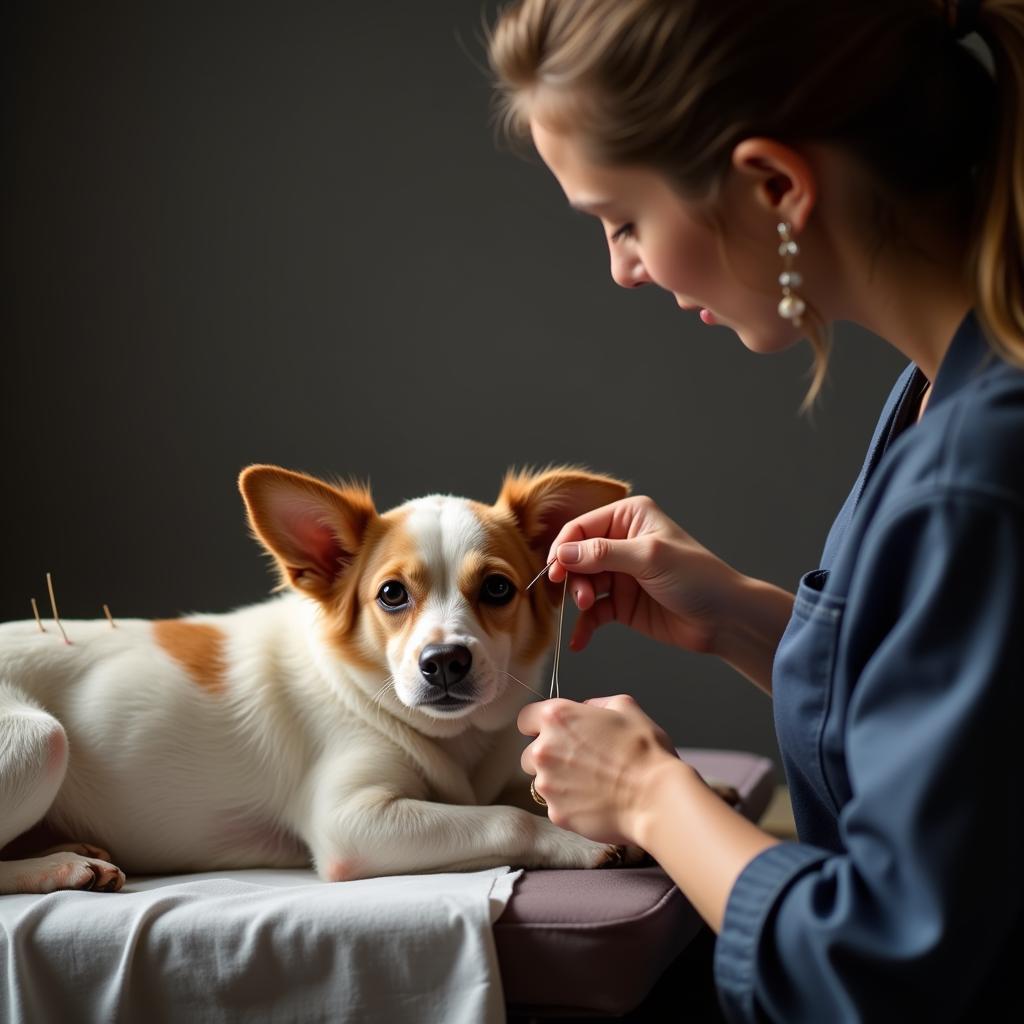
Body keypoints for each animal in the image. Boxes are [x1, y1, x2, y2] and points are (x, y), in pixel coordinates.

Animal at [0, 460, 634, 892]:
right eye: (391, 594)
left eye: (499, 589)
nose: (444, 661)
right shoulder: (351, 822)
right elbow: (505, 820)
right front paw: (574, 841)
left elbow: (519, 798)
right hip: (39, 741)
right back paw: (64, 865)